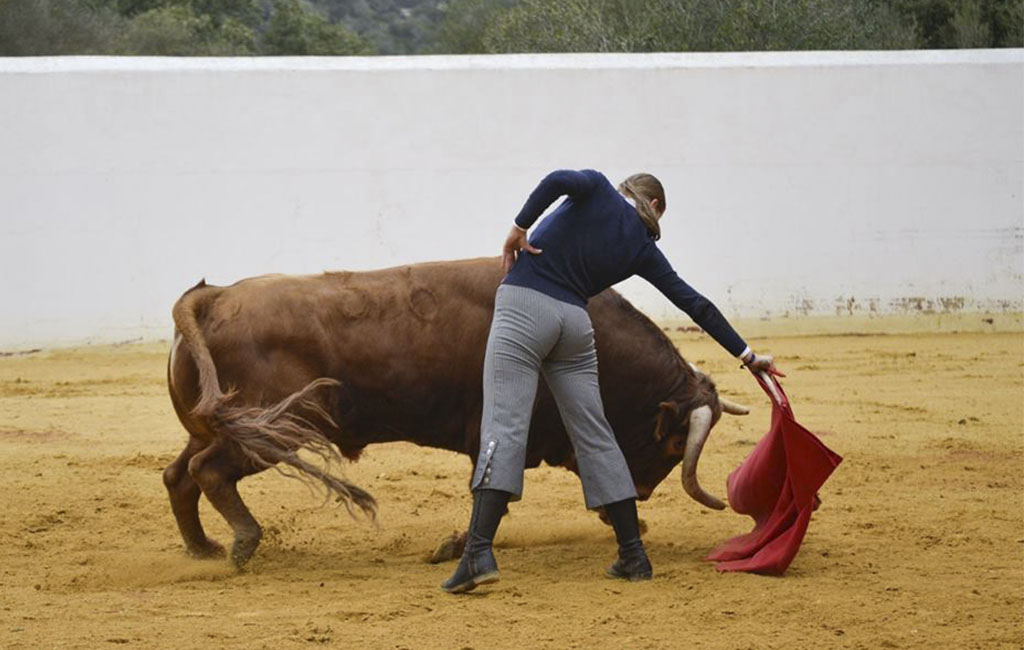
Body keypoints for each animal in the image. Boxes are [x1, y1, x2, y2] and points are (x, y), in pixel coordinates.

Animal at [165, 256, 745, 569]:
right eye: (675, 443)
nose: (643, 493)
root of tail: (216, 297)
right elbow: (497, 494)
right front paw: (452, 549)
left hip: (220, 425)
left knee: (179, 474)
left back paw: (202, 548)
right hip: (278, 428)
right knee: (206, 470)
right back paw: (243, 544)